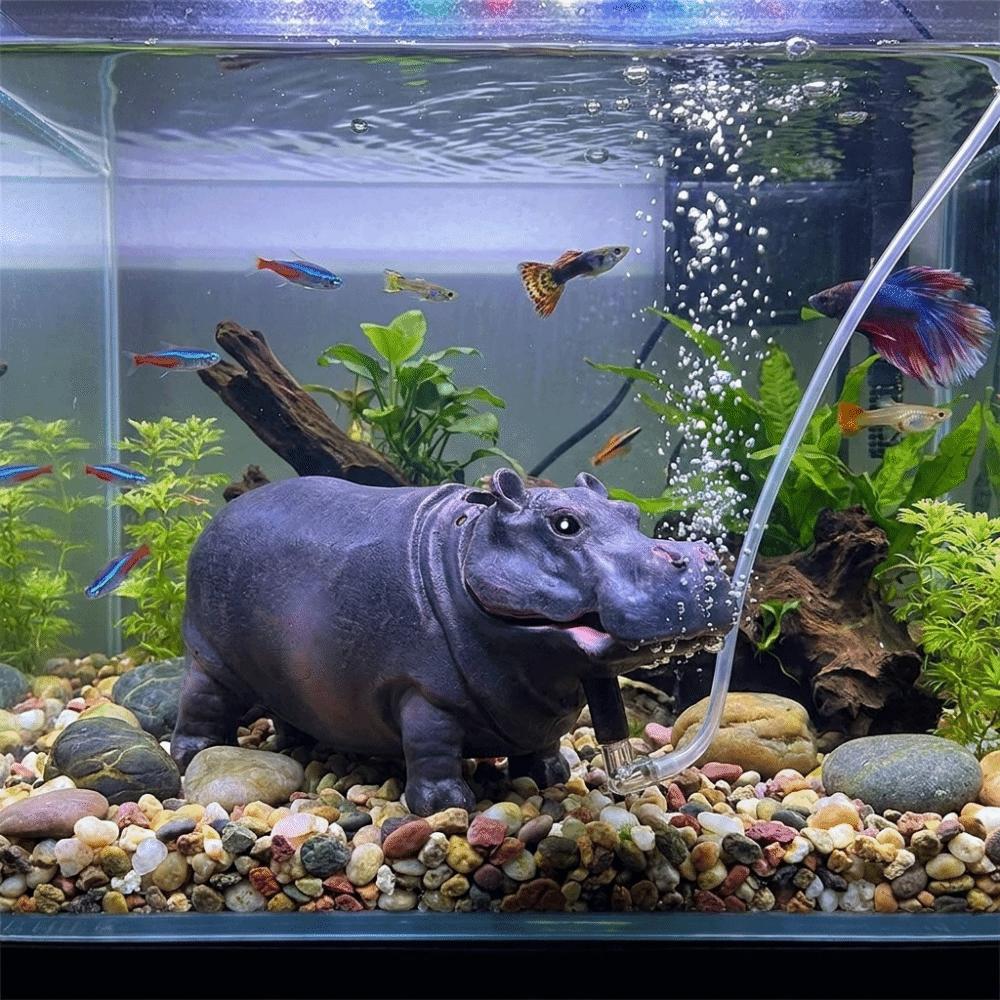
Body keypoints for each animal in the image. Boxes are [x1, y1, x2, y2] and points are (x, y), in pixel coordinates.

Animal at [172, 469, 733, 814]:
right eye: (564, 524)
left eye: (630, 514)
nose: (698, 558)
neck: (466, 547)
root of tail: (220, 516)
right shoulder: (422, 690)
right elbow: (432, 744)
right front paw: (446, 804)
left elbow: (545, 742)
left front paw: (551, 775)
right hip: (209, 655)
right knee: (201, 701)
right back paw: (196, 752)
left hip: (289, 676)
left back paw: (296, 744)